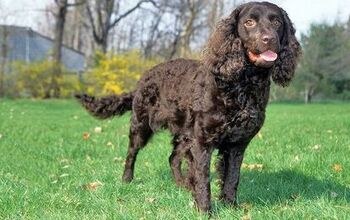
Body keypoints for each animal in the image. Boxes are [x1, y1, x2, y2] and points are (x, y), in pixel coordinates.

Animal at [76, 0, 300, 212]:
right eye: (249, 22)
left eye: (277, 22)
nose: (269, 39)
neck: (242, 86)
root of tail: (143, 79)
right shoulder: (202, 142)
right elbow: (203, 179)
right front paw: (205, 210)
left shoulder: (237, 144)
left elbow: (232, 178)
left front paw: (230, 206)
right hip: (141, 126)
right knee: (131, 153)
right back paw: (127, 180)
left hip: (185, 135)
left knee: (173, 158)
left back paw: (181, 184)